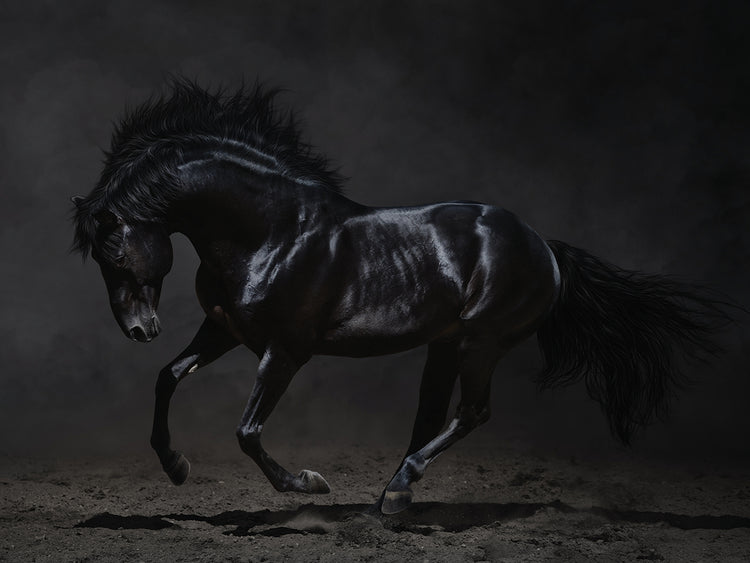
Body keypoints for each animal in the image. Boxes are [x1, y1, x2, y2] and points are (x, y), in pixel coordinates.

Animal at [72, 79, 728, 514]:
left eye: (116, 253)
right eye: (100, 260)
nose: (139, 329)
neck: (271, 232)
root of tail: (544, 246)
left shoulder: (285, 350)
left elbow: (248, 431)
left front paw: (309, 484)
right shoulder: (225, 330)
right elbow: (167, 377)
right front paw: (176, 467)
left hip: (483, 341)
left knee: (471, 413)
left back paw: (399, 490)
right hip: (446, 344)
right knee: (433, 416)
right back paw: (393, 494)